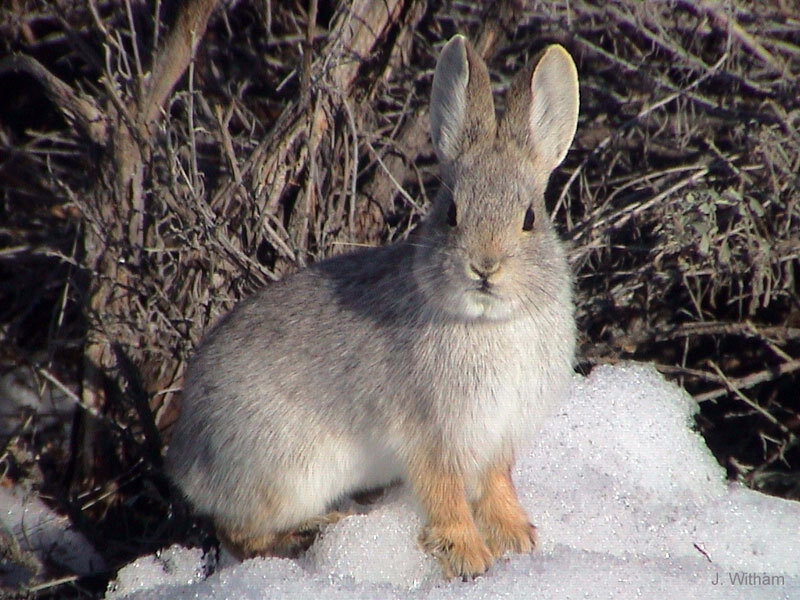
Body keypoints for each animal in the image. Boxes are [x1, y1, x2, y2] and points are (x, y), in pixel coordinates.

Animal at [165, 34, 579, 579]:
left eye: (530, 218)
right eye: (451, 213)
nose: (484, 267)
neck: (491, 321)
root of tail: (186, 460)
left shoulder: (495, 438)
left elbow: (496, 487)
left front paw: (517, 538)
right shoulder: (432, 436)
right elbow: (445, 498)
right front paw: (468, 558)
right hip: (287, 471)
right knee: (238, 533)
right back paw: (312, 530)